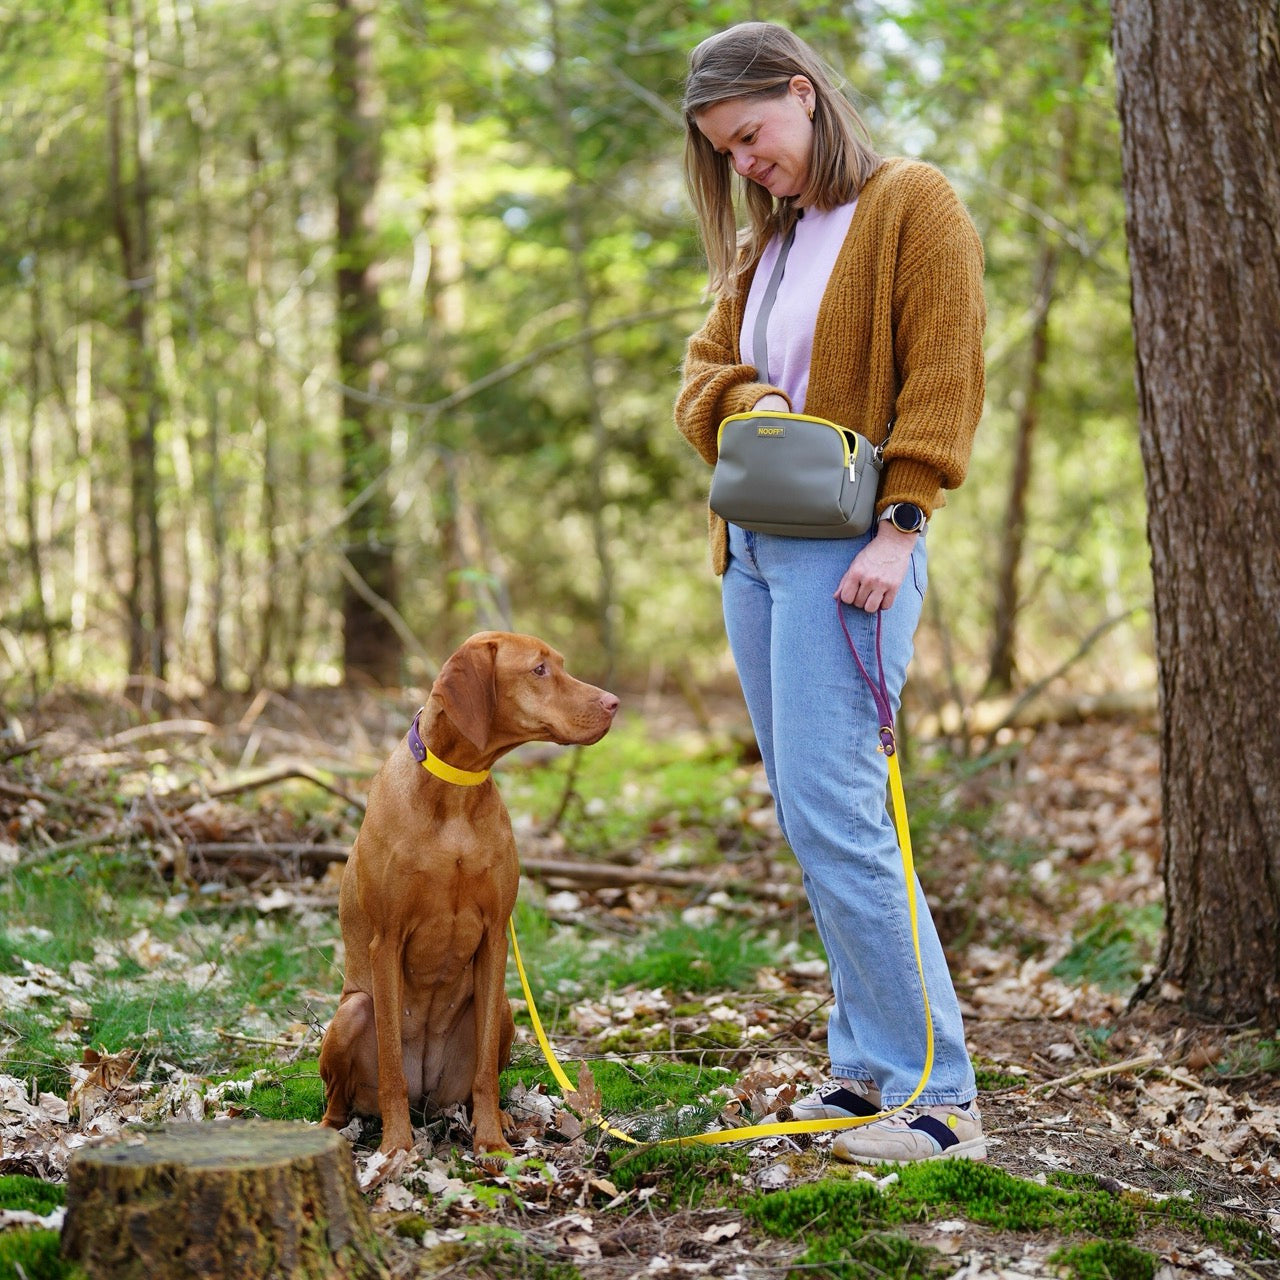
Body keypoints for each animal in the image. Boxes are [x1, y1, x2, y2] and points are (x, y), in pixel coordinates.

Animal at [320, 634, 619, 1157]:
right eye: (539, 670)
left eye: (560, 665)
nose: (614, 703)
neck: (456, 792)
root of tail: (427, 1099)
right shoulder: (387, 939)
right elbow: (392, 1066)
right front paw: (397, 1147)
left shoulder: (496, 936)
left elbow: (484, 1074)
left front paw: (492, 1141)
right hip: (352, 1013)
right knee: (341, 1099)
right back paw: (331, 1129)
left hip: (501, 1011)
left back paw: (502, 1117)